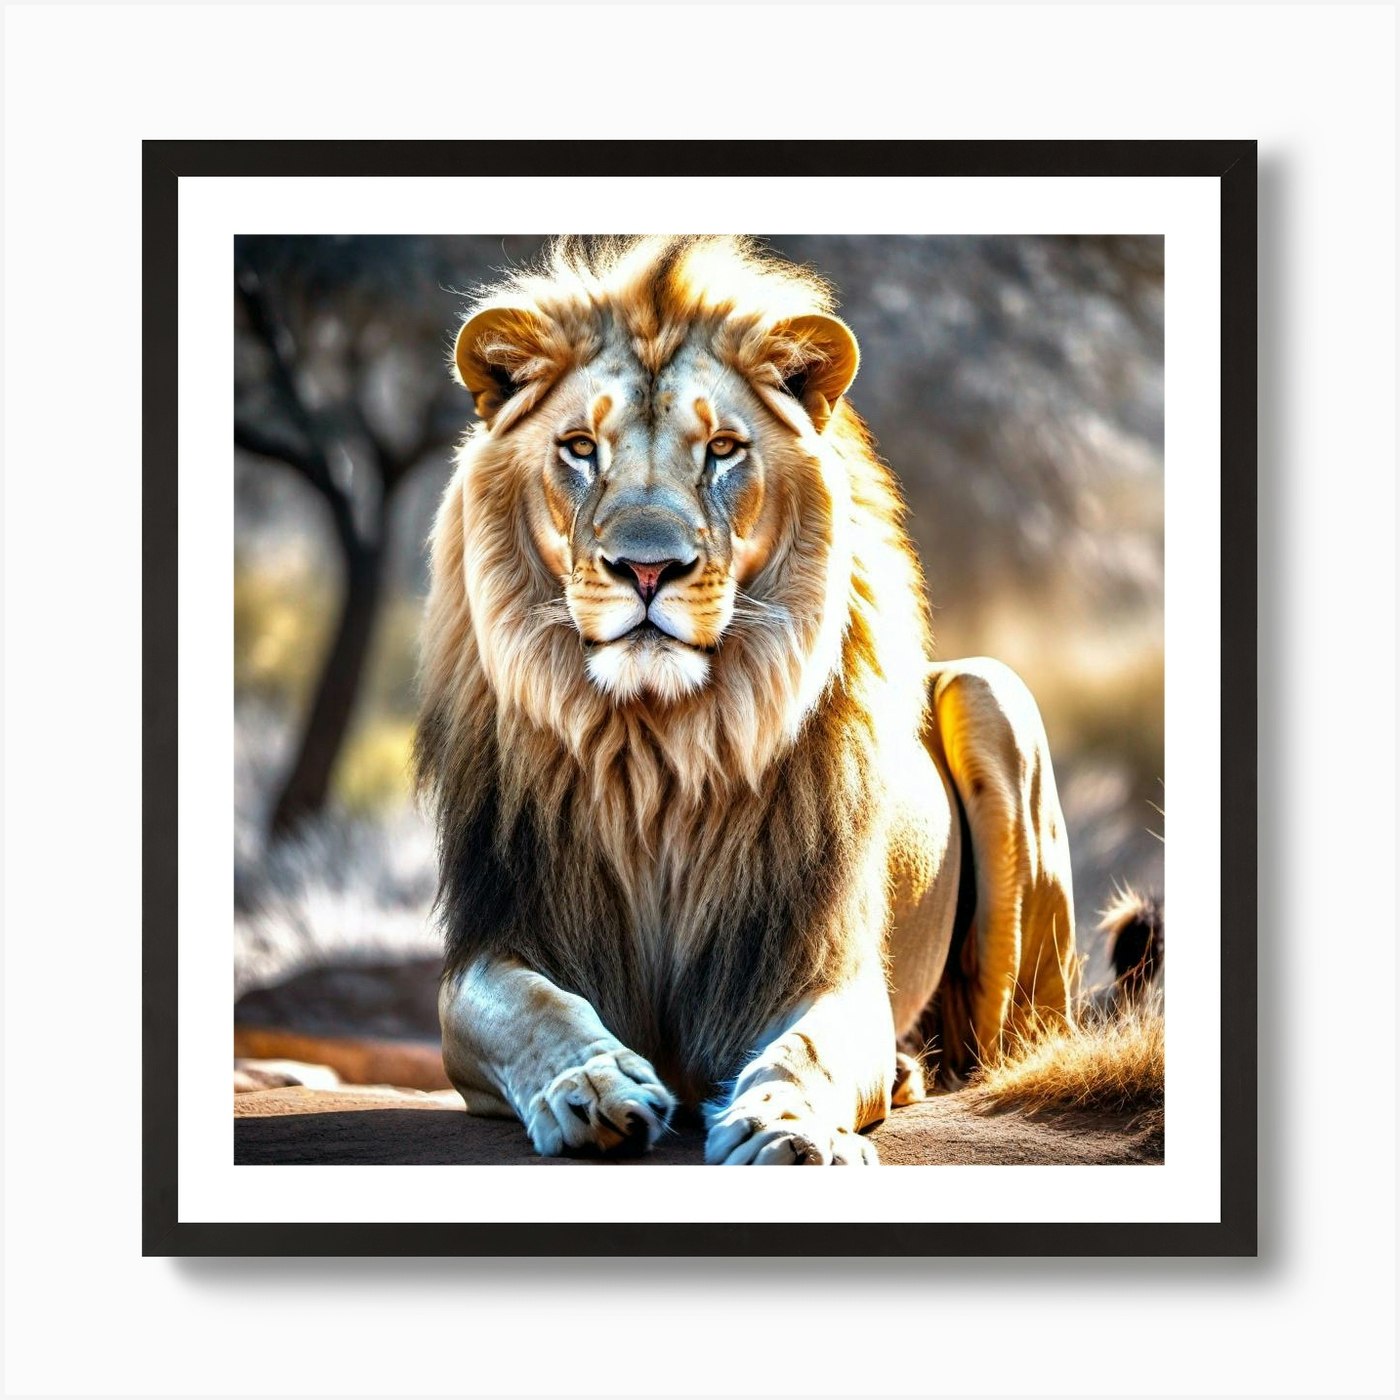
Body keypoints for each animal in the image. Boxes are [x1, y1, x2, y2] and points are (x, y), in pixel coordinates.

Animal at [415, 235, 1076, 1165]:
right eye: (580, 447)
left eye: (723, 450)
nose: (647, 567)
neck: (656, 748)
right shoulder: (494, 943)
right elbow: (533, 1010)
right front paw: (592, 1085)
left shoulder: (821, 963)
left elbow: (806, 1049)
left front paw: (786, 1125)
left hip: (995, 698)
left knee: (999, 1046)